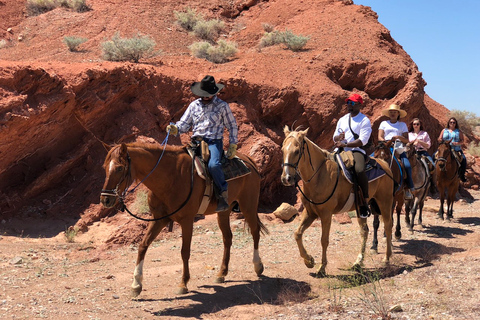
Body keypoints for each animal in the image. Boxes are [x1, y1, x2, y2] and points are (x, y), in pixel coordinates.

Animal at [100, 142, 268, 298]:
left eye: (119, 168)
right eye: (104, 168)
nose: (105, 200)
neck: (170, 178)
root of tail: (249, 161)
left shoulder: (187, 220)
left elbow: (184, 252)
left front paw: (183, 283)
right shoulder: (159, 219)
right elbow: (143, 246)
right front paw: (136, 285)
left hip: (248, 206)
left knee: (255, 232)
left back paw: (258, 266)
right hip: (224, 212)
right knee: (227, 238)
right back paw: (221, 273)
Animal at [280, 126, 392, 276]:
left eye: (297, 151)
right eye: (283, 150)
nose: (286, 178)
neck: (319, 175)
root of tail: (384, 164)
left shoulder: (326, 214)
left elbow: (324, 240)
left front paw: (321, 267)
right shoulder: (310, 212)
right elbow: (297, 234)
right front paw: (309, 261)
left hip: (385, 202)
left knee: (388, 226)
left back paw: (387, 258)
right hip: (361, 209)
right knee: (364, 231)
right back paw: (358, 262)